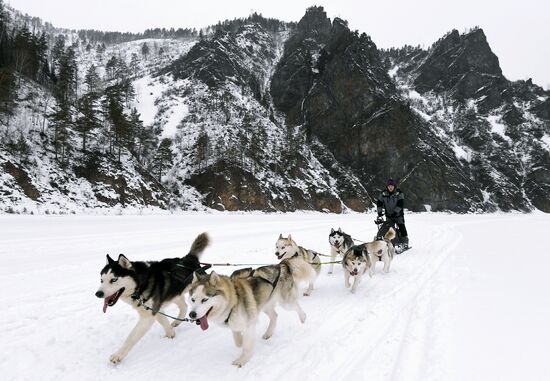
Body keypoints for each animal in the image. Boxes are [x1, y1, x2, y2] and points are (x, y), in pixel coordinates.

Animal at [95, 232, 209, 362]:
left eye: (113, 280)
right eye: (101, 280)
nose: (98, 294)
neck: (140, 284)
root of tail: (189, 258)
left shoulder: (148, 316)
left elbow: (131, 337)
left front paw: (118, 355)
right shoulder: (155, 309)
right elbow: (164, 322)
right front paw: (170, 334)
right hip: (175, 294)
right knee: (184, 306)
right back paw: (176, 322)